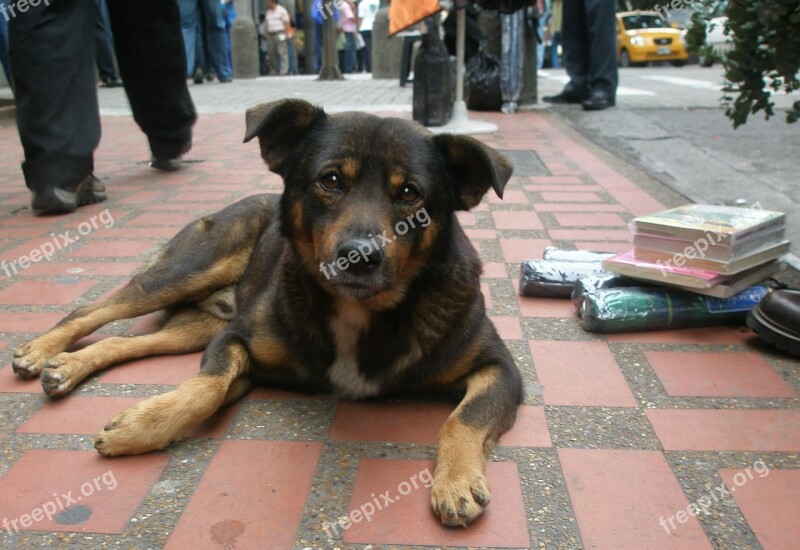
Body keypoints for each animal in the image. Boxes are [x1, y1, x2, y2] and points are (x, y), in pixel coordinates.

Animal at [14, 100, 524, 532]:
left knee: (128, 340)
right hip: (191, 269)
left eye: (410, 193)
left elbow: (465, 416)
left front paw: (455, 481)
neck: (361, 311)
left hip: (200, 327)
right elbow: (206, 386)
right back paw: (40, 350)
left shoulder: (501, 368)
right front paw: (142, 427)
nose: (359, 256)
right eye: (331, 180)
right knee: (92, 308)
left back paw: (66, 366)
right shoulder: (236, 341)